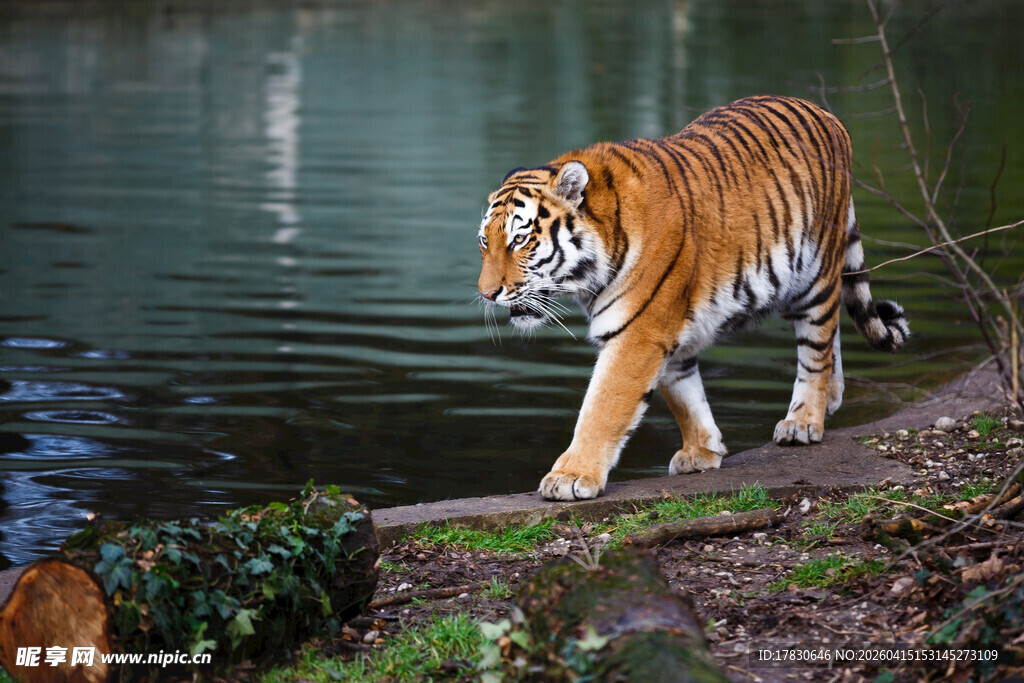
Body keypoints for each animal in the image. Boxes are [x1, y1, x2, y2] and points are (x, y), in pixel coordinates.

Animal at [476, 95, 909, 501]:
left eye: (520, 239)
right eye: (485, 241)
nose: (487, 293)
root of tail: (825, 113)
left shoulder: (639, 333)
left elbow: (603, 408)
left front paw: (570, 477)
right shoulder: (668, 331)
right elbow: (684, 393)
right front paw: (702, 451)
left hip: (814, 275)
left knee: (817, 345)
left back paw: (803, 423)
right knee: (832, 331)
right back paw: (832, 398)